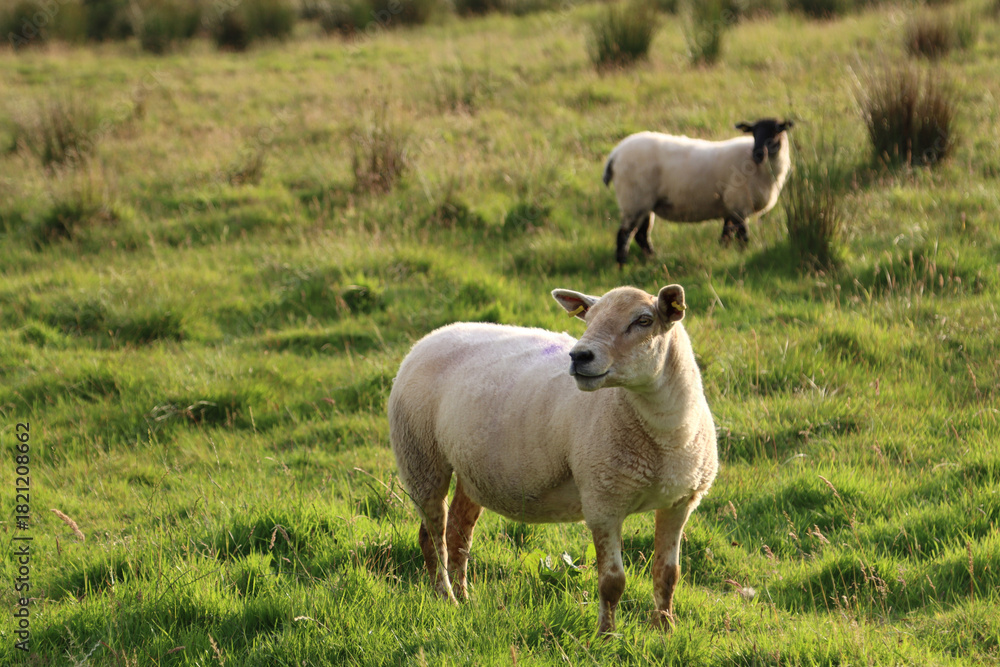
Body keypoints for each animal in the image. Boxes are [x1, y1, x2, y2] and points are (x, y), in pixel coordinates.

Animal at [388, 284, 718, 634]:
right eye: (589, 318)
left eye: (644, 320)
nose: (579, 355)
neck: (664, 435)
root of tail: (434, 335)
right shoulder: (603, 502)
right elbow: (612, 583)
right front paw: (606, 636)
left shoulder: (680, 503)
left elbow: (668, 575)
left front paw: (665, 630)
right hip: (420, 456)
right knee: (433, 535)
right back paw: (445, 595)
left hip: (470, 468)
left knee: (458, 532)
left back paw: (464, 598)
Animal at [603, 118, 794, 266]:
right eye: (754, 133)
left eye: (777, 131)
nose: (758, 154)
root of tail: (615, 154)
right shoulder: (739, 203)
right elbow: (742, 236)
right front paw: (743, 254)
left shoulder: (730, 207)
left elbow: (726, 234)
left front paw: (724, 253)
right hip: (634, 199)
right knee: (624, 234)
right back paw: (622, 265)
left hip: (644, 203)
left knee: (641, 235)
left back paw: (652, 259)